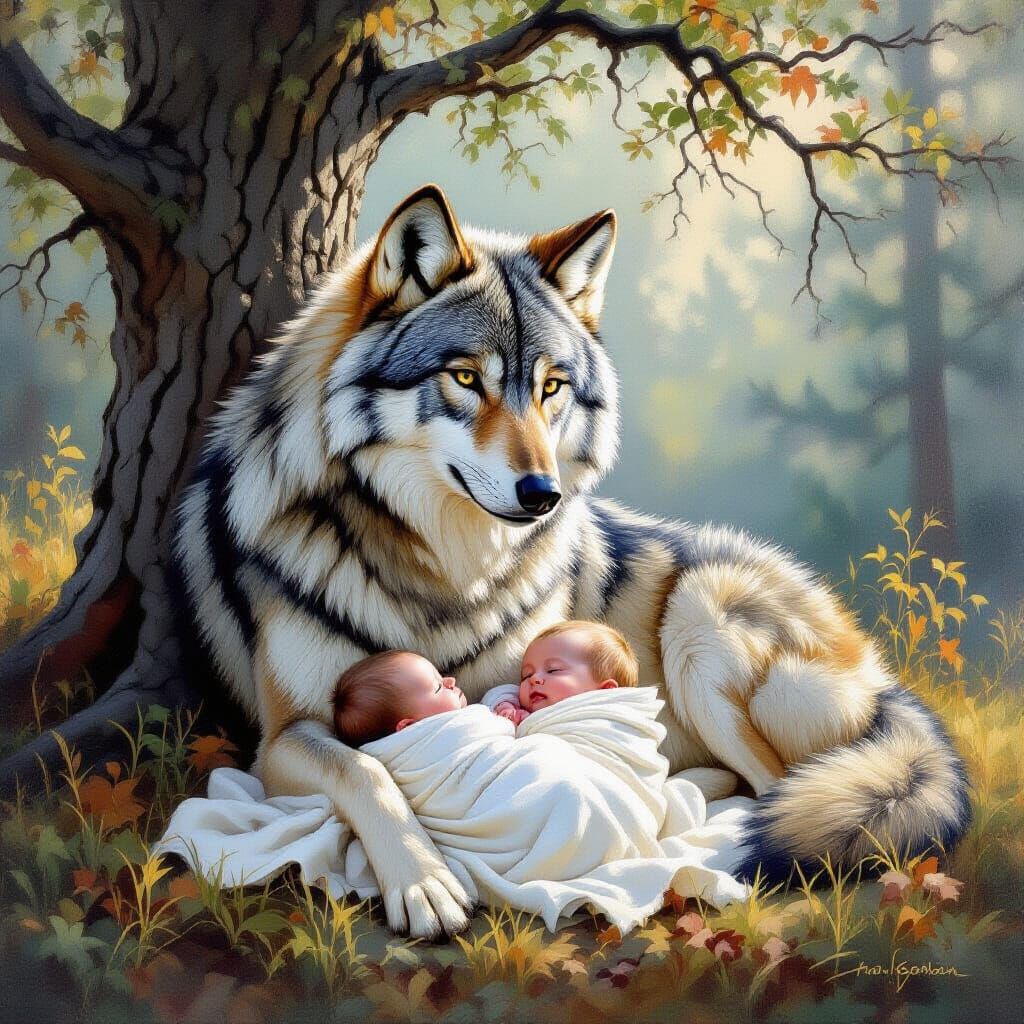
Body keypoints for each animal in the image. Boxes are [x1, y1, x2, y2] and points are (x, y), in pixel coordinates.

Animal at [172, 184, 970, 940]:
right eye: (466, 378)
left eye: (550, 387)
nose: (543, 493)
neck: (445, 572)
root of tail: (880, 675)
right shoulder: (280, 738)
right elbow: (367, 767)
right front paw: (425, 882)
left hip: (699, 621)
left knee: (778, 789)